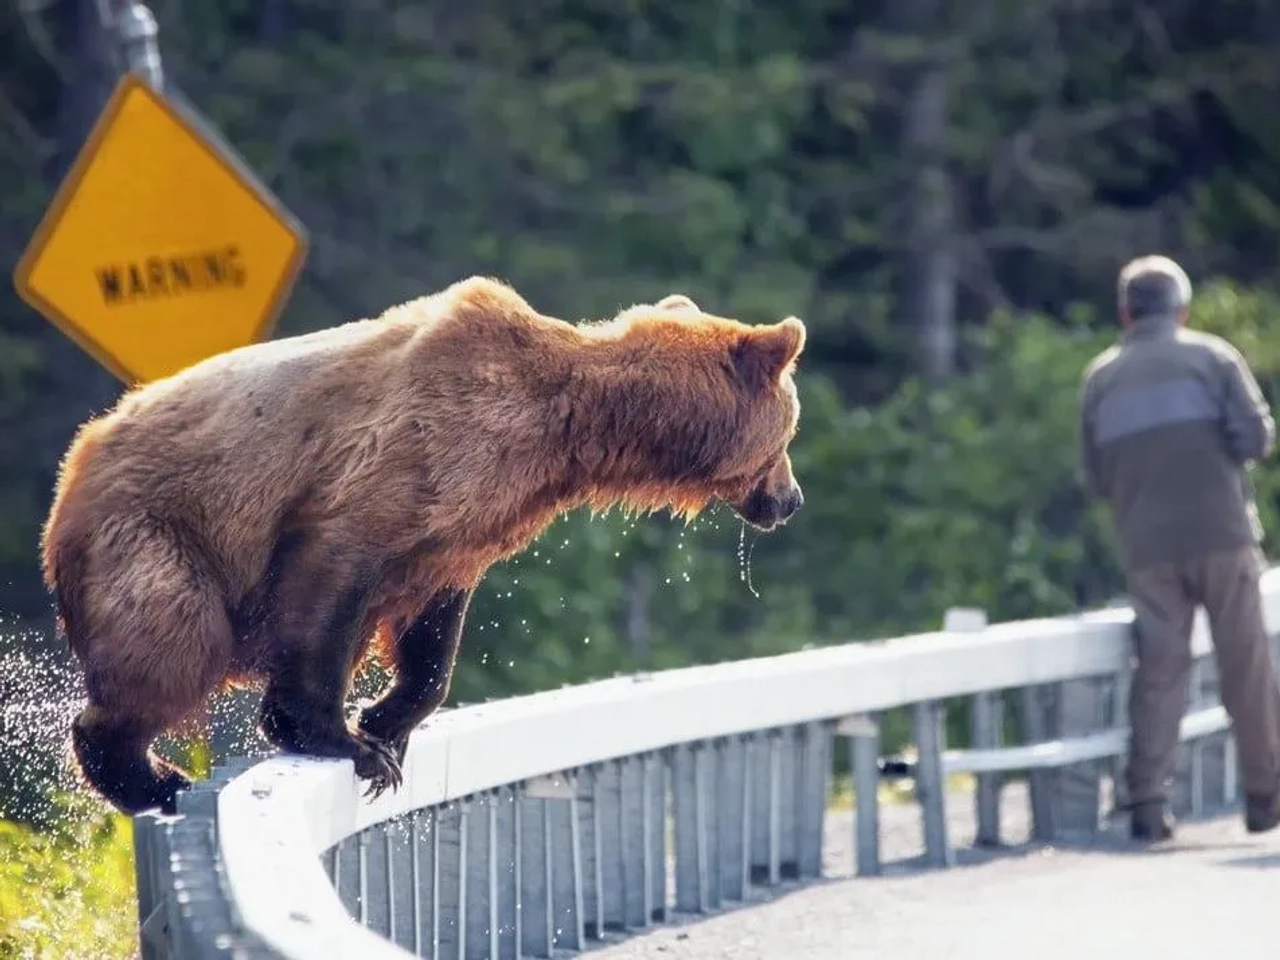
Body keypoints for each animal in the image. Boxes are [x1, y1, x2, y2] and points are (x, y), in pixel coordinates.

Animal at [40, 276, 806, 816]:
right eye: (789, 433)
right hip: (156, 535)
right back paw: (153, 776)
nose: (791, 500)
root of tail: (71, 471)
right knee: (172, 642)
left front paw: (387, 722)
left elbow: (432, 632)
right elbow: (331, 577)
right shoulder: (401, 461)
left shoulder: (466, 526)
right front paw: (345, 740)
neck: (564, 429)